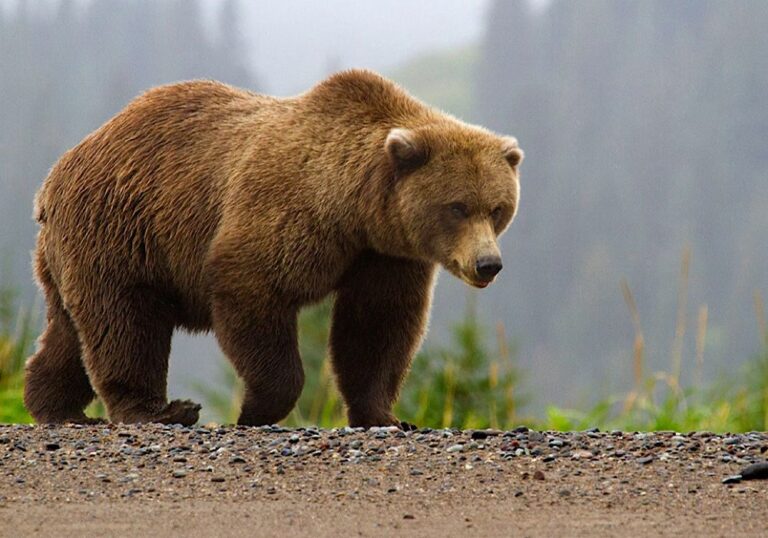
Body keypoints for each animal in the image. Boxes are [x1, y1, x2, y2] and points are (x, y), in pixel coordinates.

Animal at [23, 69, 523, 428]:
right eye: (457, 207)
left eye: (498, 208)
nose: (488, 264)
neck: (354, 209)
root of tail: (55, 176)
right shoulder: (286, 212)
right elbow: (252, 289)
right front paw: (254, 410)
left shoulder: (385, 255)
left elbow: (377, 326)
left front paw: (386, 416)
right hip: (123, 230)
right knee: (125, 322)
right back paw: (160, 411)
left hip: (77, 250)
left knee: (70, 331)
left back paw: (55, 406)